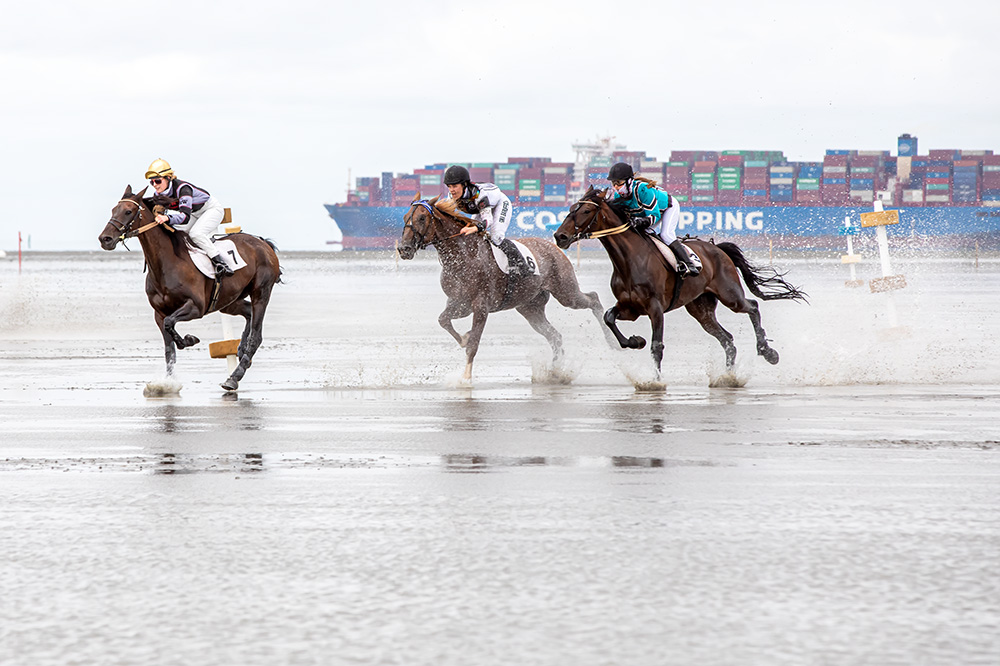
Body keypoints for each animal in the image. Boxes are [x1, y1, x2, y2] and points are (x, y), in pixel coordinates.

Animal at [98, 184, 282, 390]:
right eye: (113, 210)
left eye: (128, 211)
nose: (105, 239)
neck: (166, 265)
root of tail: (263, 243)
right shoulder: (159, 313)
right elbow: (169, 349)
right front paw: (167, 383)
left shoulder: (196, 307)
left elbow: (171, 323)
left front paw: (188, 340)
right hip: (229, 301)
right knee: (248, 312)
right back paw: (241, 351)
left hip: (261, 293)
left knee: (256, 335)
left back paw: (234, 376)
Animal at [394, 195, 604, 378]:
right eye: (405, 217)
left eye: (422, 217)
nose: (404, 249)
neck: (462, 255)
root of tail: (553, 246)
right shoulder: (459, 303)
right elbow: (443, 320)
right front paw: (464, 338)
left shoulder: (480, 306)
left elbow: (473, 345)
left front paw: (465, 379)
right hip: (530, 308)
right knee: (555, 336)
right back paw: (555, 372)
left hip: (566, 292)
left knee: (593, 298)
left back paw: (609, 339)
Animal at [552, 187, 808, 378]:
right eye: (570, 209)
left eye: (585, 210)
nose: (559, 236)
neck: (630, 259)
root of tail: (718, 248)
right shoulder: (630, 308)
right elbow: (609, 317)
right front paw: (635, 341)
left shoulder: (655, 308)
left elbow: (657, 347)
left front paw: (654, 382)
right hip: (700, 308)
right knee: (727, 340)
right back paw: (728, 377)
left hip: (730, 295)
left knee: (752, 307)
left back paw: (767, 351)